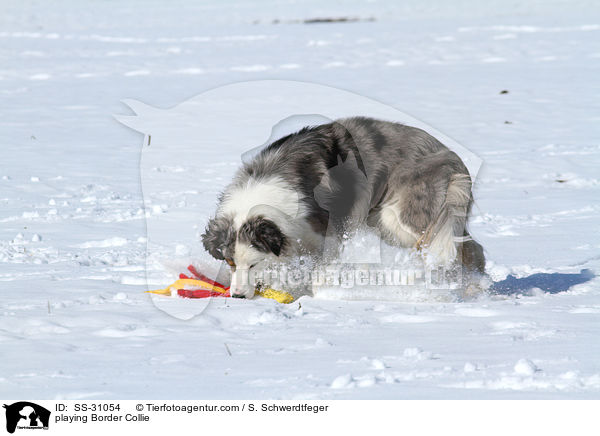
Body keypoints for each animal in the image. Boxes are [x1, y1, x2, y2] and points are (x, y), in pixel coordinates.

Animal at [204, 117, 486, 298]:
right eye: (229, 263)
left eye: (253, 265)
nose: (238, 296)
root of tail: (453, 158)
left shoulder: (329, 233)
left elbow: (320, 270)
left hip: (403, 218)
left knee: (461, 247)